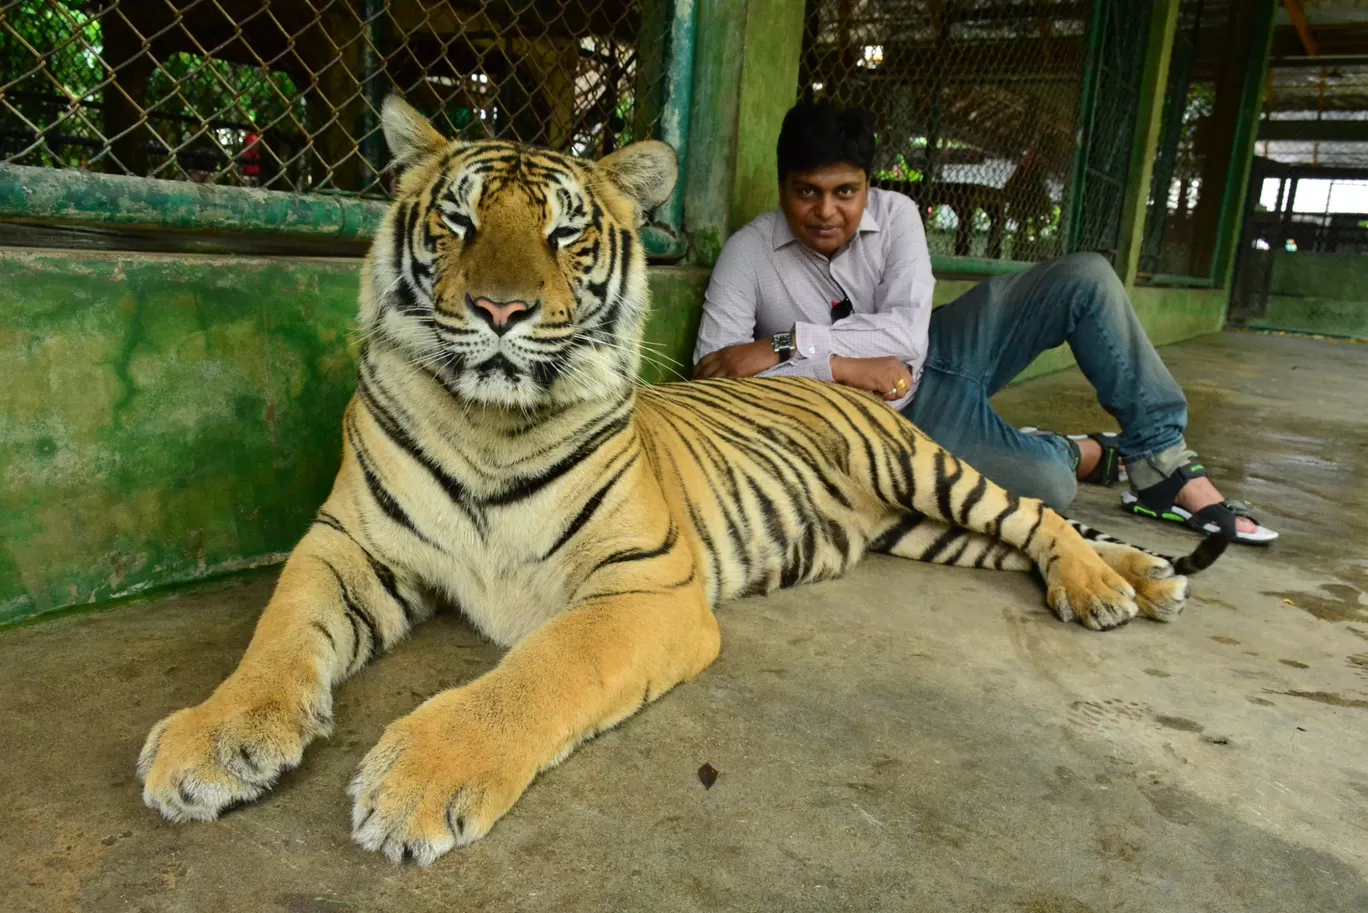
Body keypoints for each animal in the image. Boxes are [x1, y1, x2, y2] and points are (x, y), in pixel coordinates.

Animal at [138, 96, 1231, 870]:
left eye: (565, 234)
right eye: (455, 222)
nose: (499, 309)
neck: (488, 421)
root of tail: (834, 379)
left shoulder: (645, 586)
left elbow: (539, 672)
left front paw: (416, 777)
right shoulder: (350, 543)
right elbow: (280, 635)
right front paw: (209, 741)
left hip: (927, 470)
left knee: (1039, 511)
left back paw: (1107, 586)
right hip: (921, 529)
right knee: (1021, 535)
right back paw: (1140, 576)